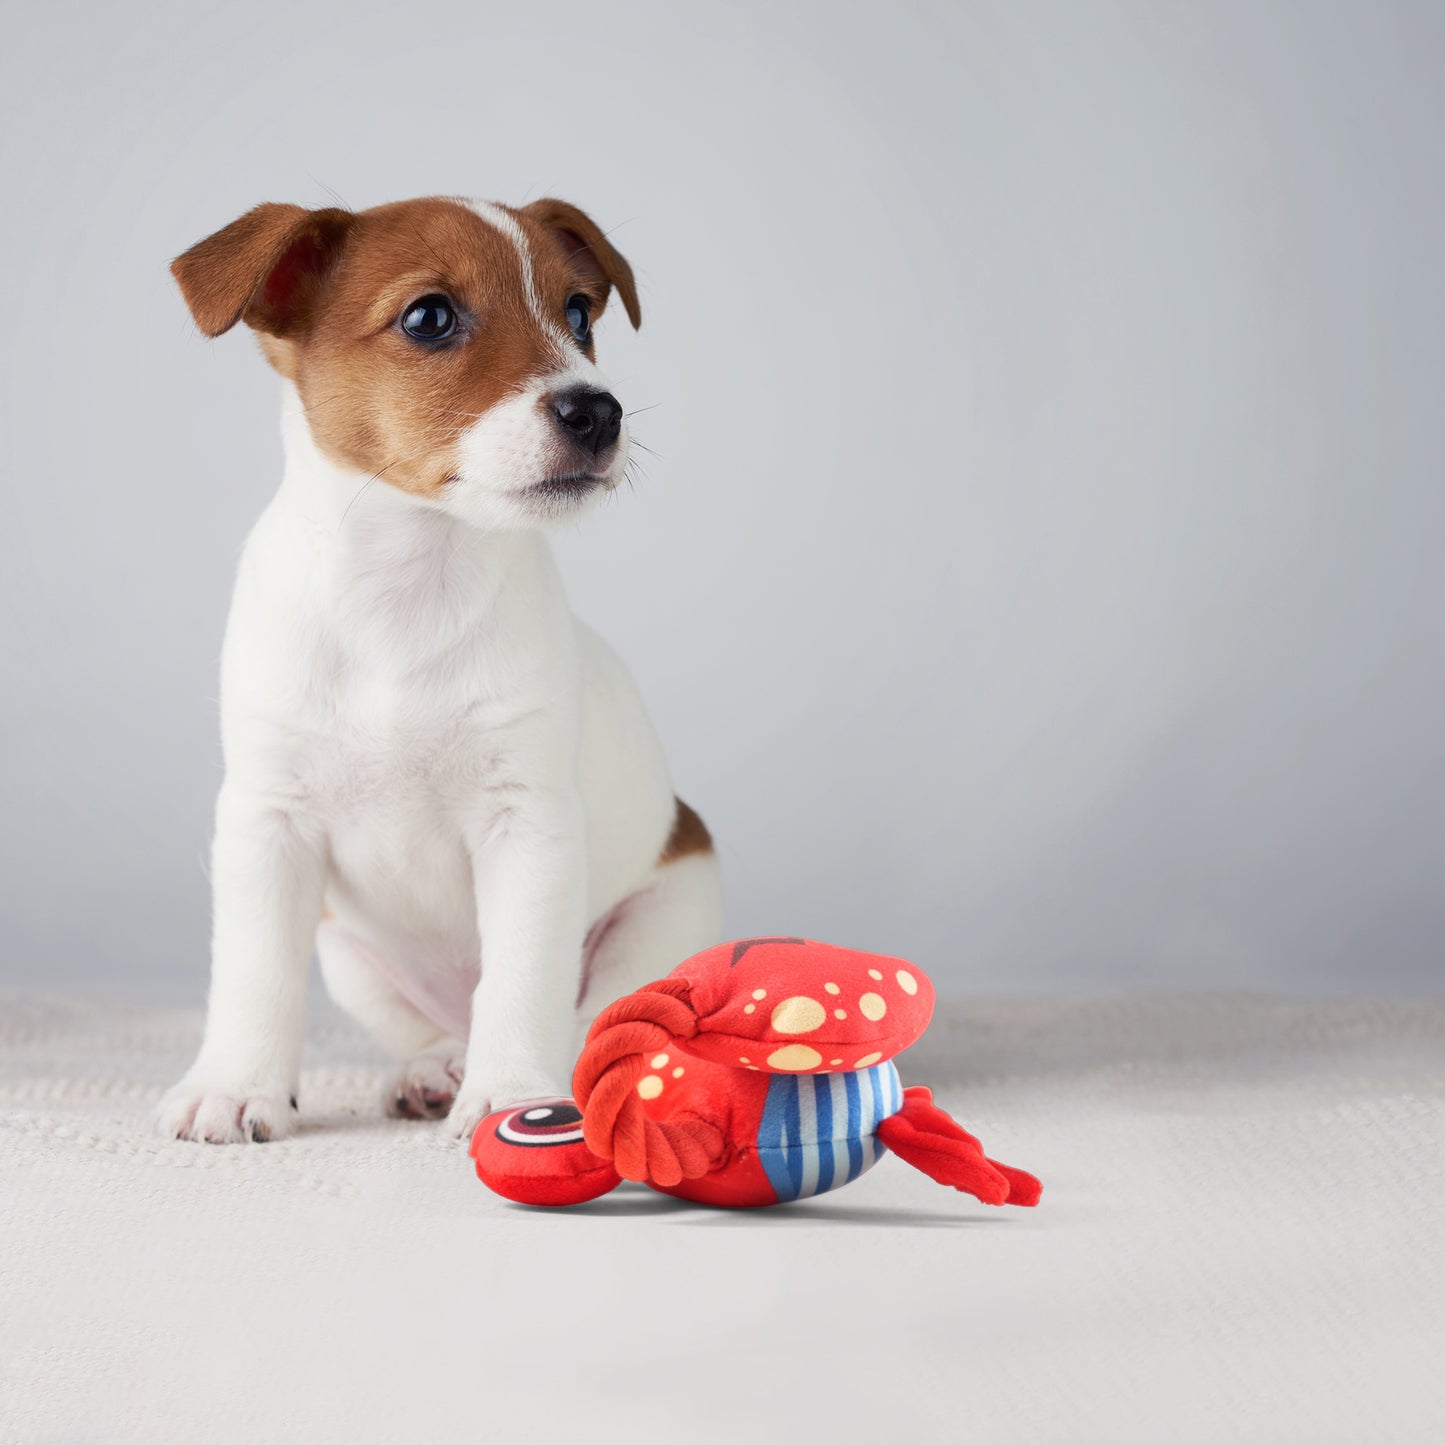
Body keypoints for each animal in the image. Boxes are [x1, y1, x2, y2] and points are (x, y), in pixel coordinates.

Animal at [158, 195, 722, 1138]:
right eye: (429, 318)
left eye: (578, 314)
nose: (597, 411)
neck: (408, 585)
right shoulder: (266, 822)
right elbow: (252, 973)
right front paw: (235, 1083)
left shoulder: (527, 826)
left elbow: (520, 981)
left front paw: (515, 1096)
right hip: (348, 951)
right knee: (434, 1025)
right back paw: (435, 1066)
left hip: (664, 918)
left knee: (593, 1018)